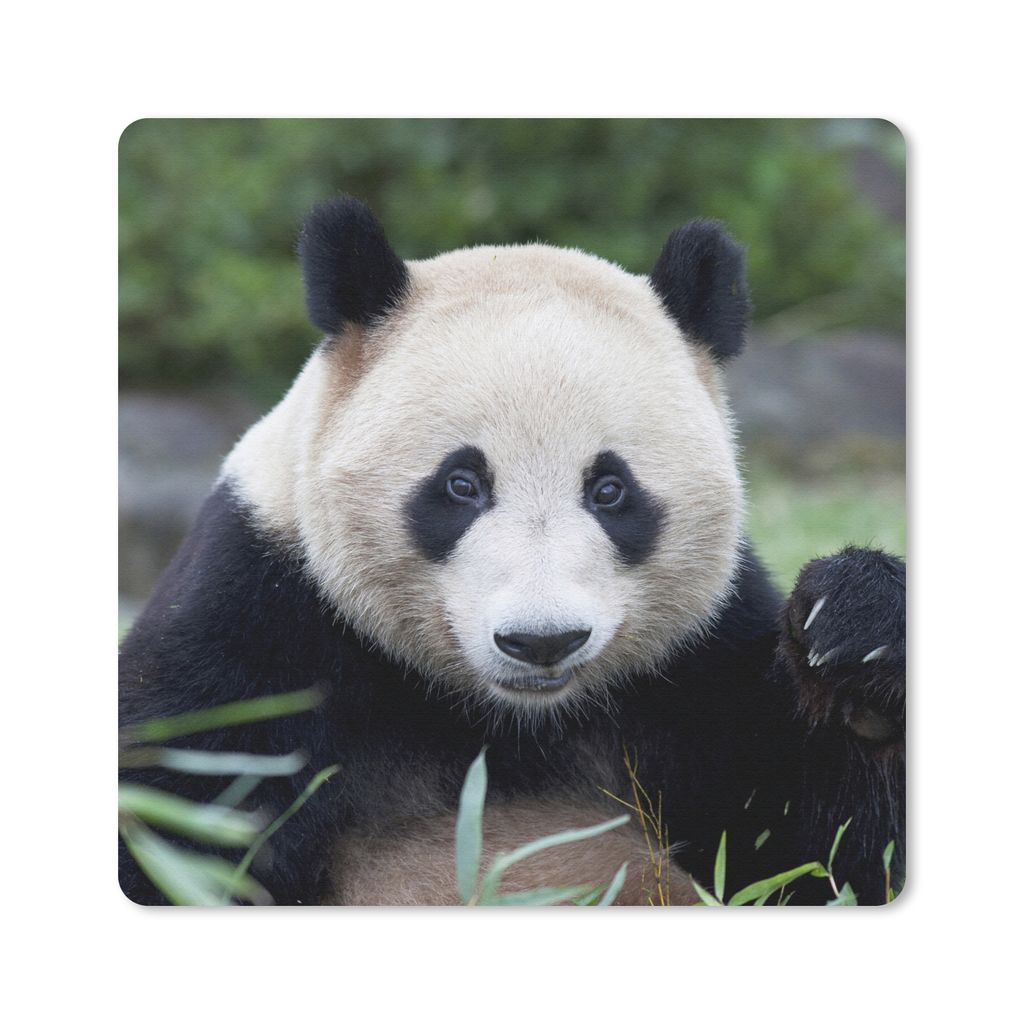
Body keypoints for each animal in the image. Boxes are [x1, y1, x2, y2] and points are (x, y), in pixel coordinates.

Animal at [119, 195, 905, 906]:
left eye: (610, 490)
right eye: (461, 484)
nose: (542, 641)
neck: (507, 720)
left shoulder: (702, 663)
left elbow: (829, 850)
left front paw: (854, 637)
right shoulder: (257, 625)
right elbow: (173, 816)